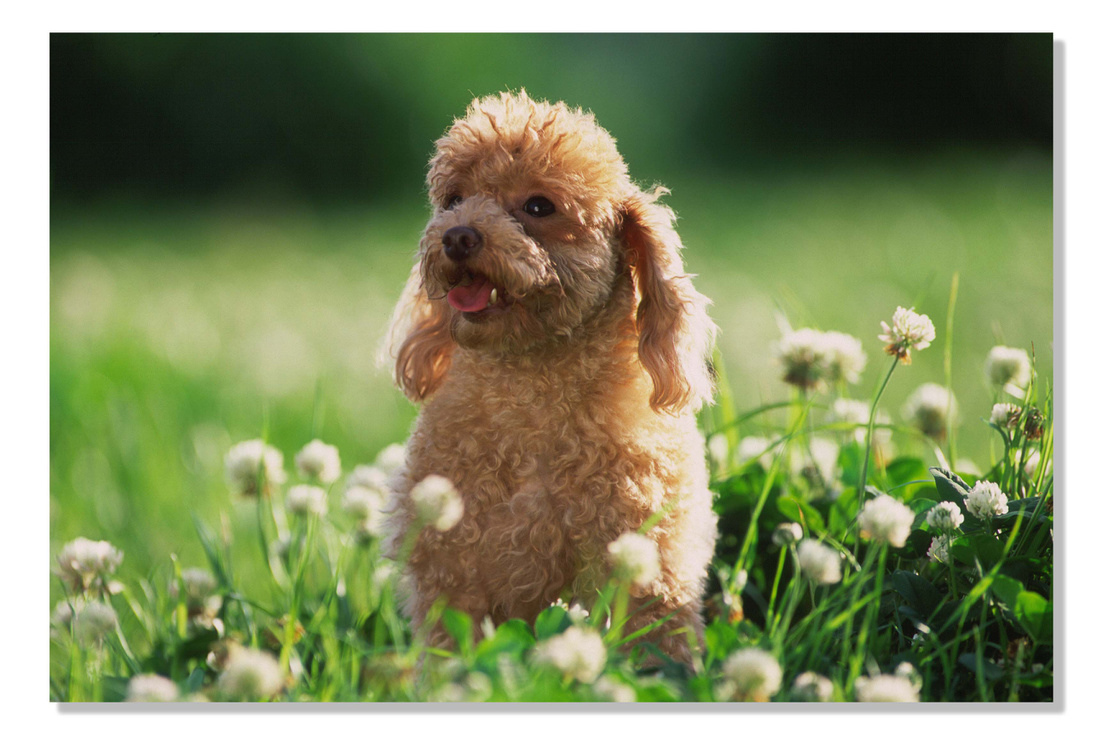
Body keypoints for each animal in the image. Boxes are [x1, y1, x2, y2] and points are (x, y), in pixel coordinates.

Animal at [385, 90, 716, 658]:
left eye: (539, 206)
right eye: (453, 199)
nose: (457, 237)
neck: (533, 391)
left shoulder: (646, 566)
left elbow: (653, 645)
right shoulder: (454, 572)